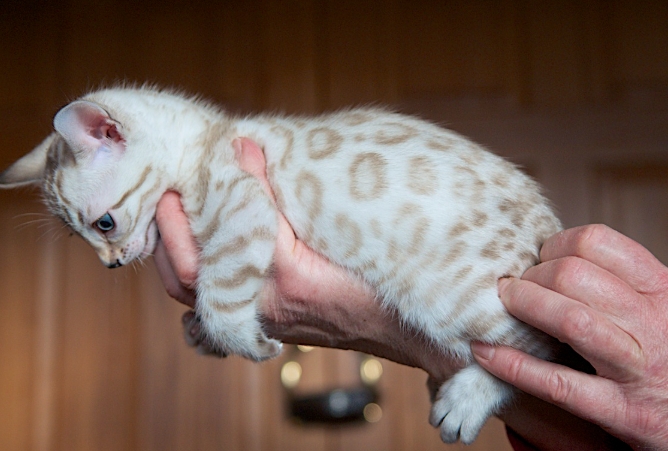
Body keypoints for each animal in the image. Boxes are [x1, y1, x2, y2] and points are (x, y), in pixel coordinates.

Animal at [0, 86, 560, 446]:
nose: (112, 265)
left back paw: (464, 401)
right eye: (81, 238)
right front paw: (197, 334)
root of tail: (549, 226)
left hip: (447, 296)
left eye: (104, 224)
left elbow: (221, 297)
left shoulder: (242, 208)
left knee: (538, 351)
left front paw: (244, 342)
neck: (208, 137)